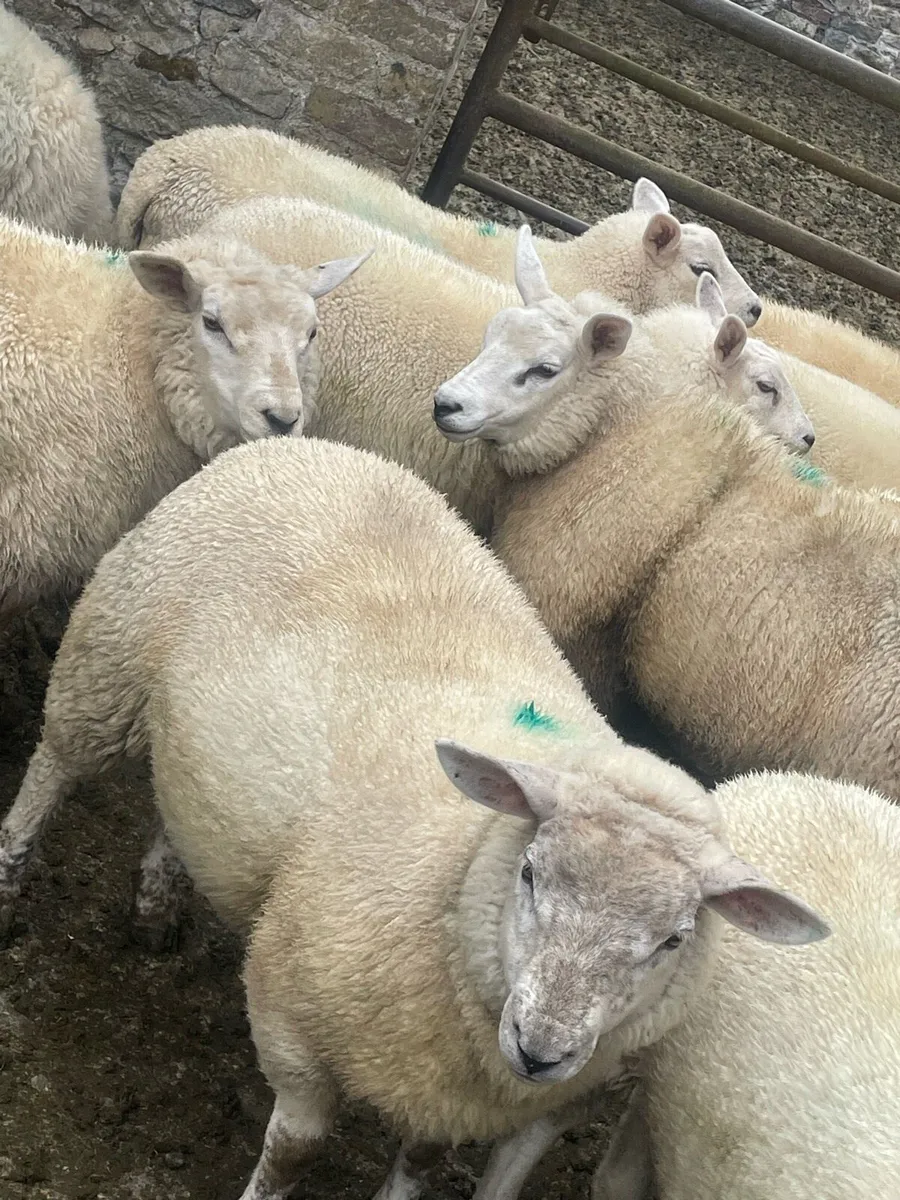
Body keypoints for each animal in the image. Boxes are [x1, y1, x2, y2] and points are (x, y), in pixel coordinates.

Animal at [0, 435, 828, 1200]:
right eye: (530, 873)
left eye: (676, 939)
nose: (543, 1050)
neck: (459, 870)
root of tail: (312, 446)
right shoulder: (292, 1017)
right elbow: (294, 1150)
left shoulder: (455, 1097)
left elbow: (421, 1160)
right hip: (109, 657)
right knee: (54, 767)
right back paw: (11, 884)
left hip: (198, 747)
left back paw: (155, 906)